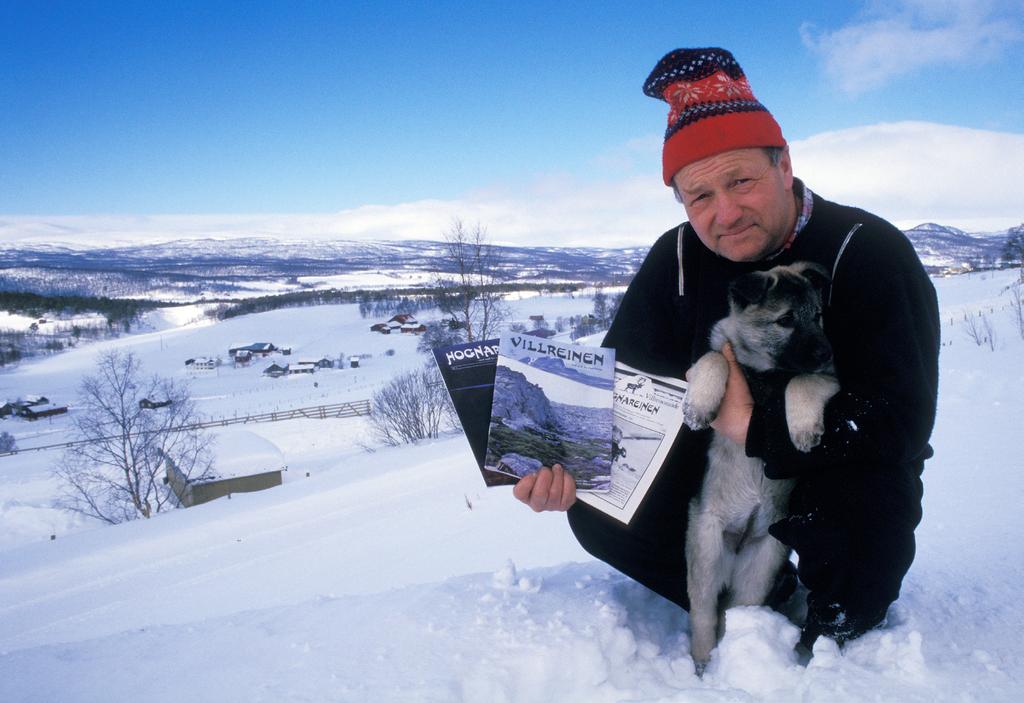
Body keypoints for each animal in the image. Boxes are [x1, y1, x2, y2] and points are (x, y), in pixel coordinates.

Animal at [679, 260, 839, 675]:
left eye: (818, 316)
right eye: (785, 320)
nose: (827, 351)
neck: (765, 373)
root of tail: (739, 541)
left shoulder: (829, 379)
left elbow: (802, 380)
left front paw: (802, 428)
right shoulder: (715, 354)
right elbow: (715, 358)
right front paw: (699, 404)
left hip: (762, 561)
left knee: (733, 612)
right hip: (706, 552)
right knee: (704, 615)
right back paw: (704, 663)